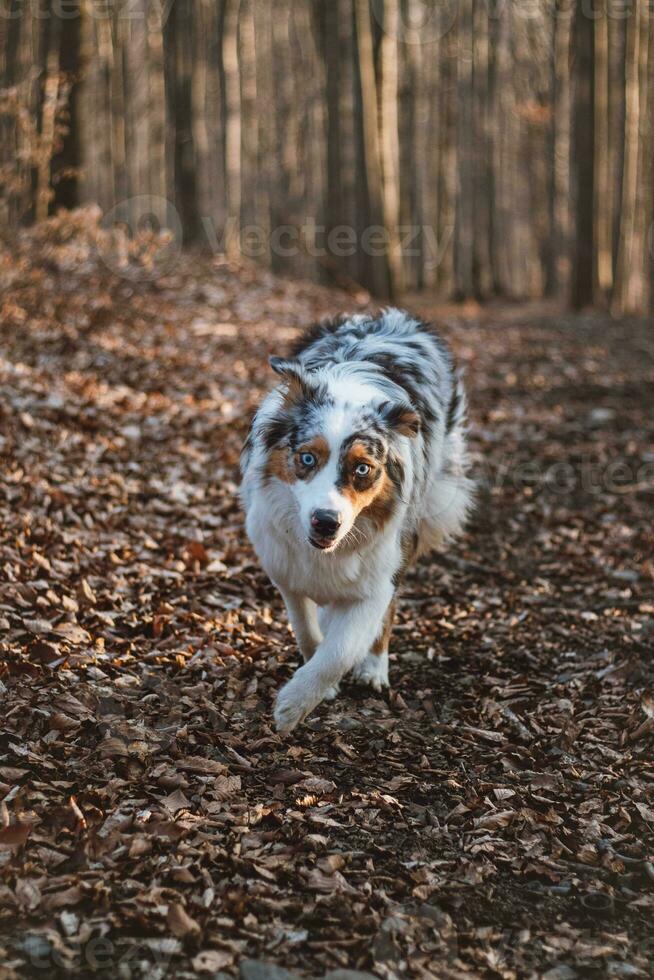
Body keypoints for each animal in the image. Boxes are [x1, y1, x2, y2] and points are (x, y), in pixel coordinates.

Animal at [238, 310, 474, 732]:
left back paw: (375, 669)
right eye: (307, 458)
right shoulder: (285, 570)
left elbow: (342, 650)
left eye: (362, 469)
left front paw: (293, 705)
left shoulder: (378, 578)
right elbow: (306, 629)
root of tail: (392, 315)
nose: (325, 522)